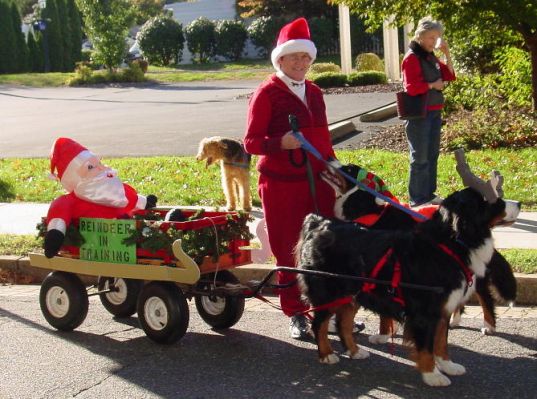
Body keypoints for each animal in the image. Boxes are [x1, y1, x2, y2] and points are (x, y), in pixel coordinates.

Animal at [298, 152, 520, 386]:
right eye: (492, 202)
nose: (519, 203)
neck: (448, 243)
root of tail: (318, 222)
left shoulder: (441, 308)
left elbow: (441, 342)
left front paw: (448, 366)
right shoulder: (425, 310)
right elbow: (426, 346)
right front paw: (432, 375)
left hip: (351, 293)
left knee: (343, 323)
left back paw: (355, 351)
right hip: (328, 291)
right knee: (320, 323)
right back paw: (327, 354)